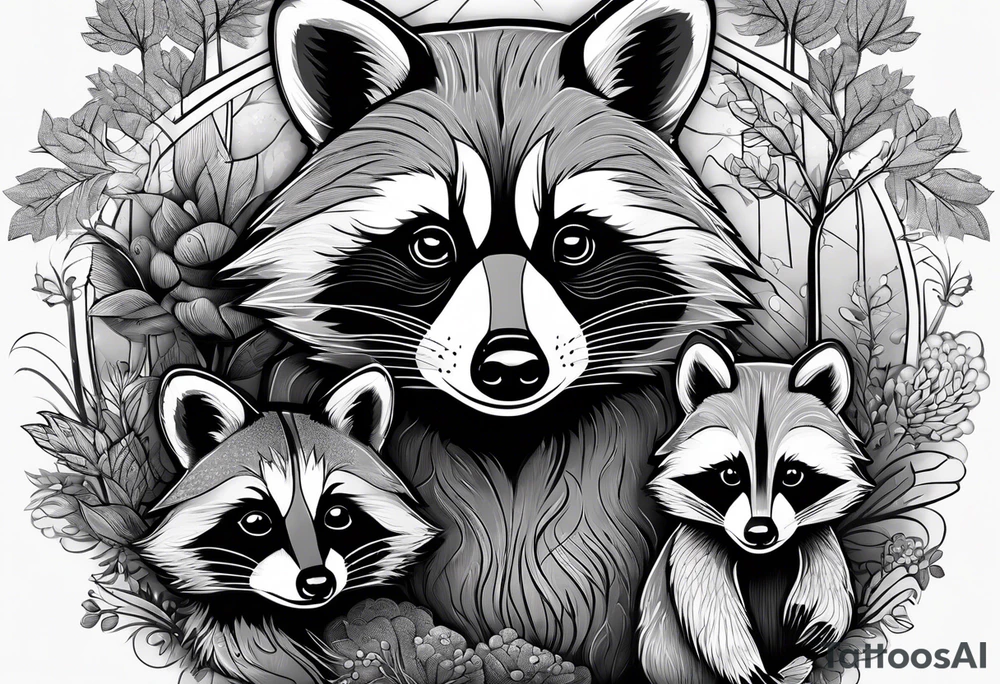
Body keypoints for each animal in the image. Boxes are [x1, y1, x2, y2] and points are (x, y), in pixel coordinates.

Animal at [639, 334, 872, 684]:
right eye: (730, 475)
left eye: (792, 475)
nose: (760, 532)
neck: (764, 558)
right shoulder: (694, 544)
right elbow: (707, 606)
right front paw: (744, 666)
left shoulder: (811, 533)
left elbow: (828, 562)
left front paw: (826, 614)